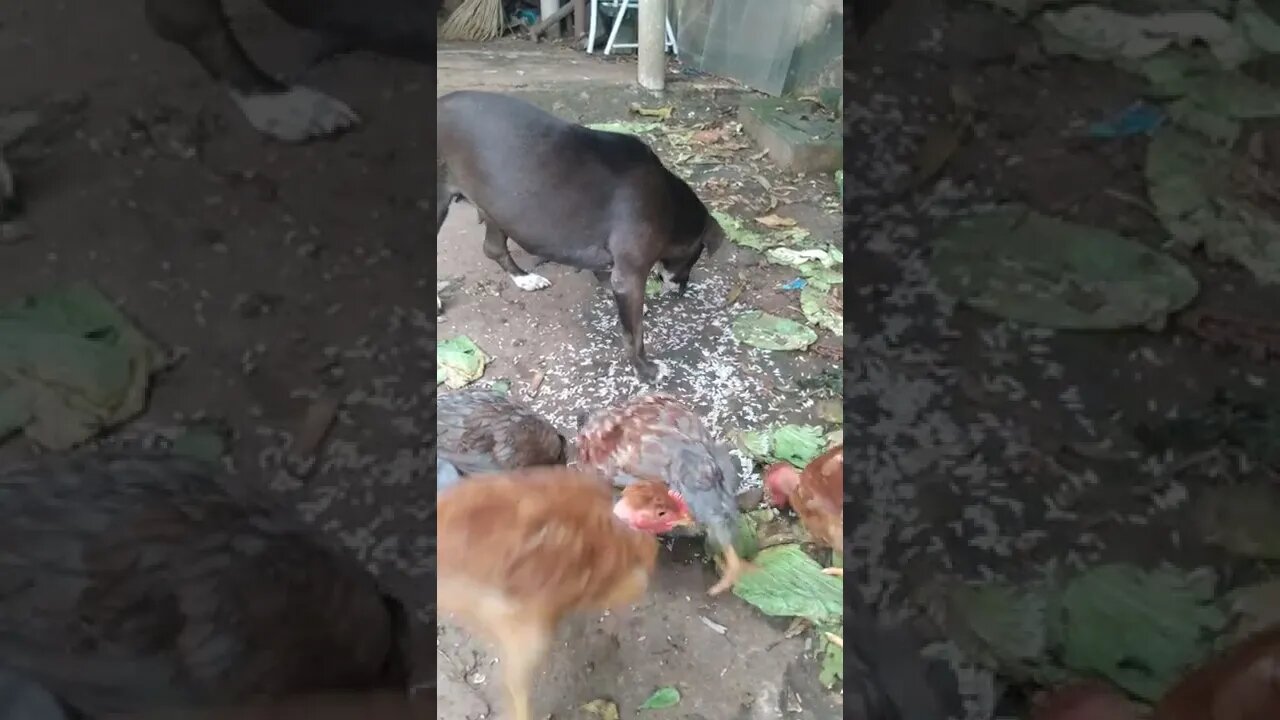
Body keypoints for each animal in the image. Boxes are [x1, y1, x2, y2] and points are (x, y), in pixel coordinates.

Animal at [437, 90, 721, 381]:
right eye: (695, 256)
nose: (683, 289)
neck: (671, 203)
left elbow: (606, 278)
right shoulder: (630, 275)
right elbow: (635, 334)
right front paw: (645, 369)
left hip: (497, 205)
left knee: (492, 247)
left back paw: (525, 278)